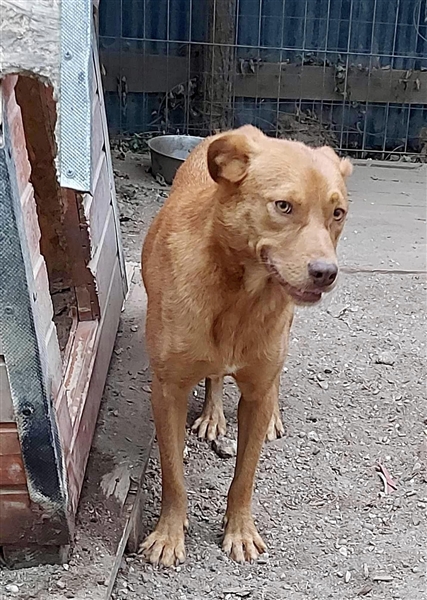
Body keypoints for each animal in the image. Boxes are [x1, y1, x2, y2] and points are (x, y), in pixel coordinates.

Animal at [140, 125, 352, 567]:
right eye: (284, 206)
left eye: (337, 213)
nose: (326, 273)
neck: (240, 296)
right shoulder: (167, 391)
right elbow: (173, 473)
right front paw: (169, 535)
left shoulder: (255, 393)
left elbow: (245, 475)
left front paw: (239, 530)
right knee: (216, 376)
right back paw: (212, 414)